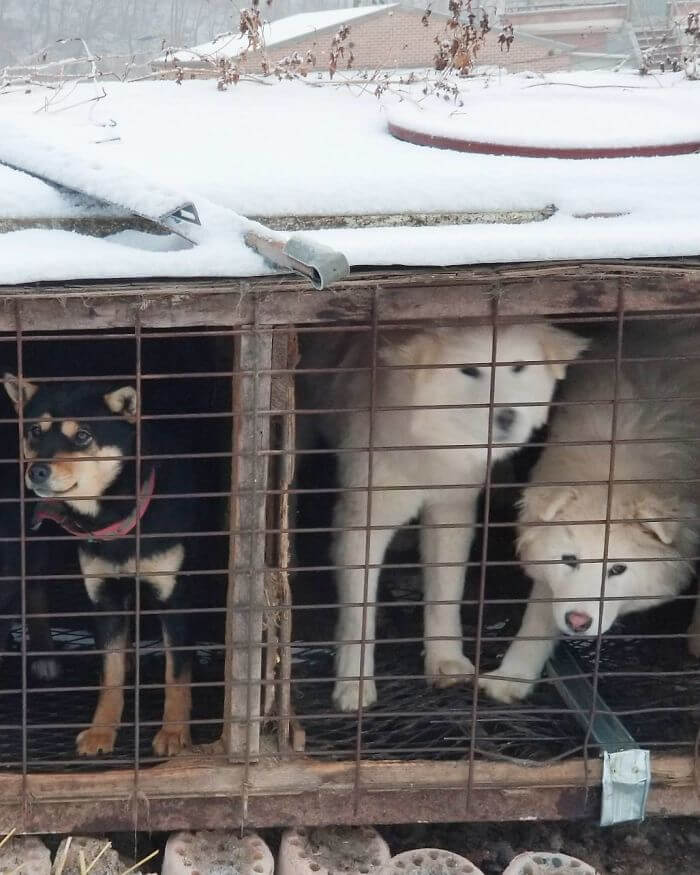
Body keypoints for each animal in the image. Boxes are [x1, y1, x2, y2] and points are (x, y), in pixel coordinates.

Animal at [4, 372, 194, 756]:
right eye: (34, 431)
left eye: (82, 435)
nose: (37, 471)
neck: (115, 514)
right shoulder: (104, 595)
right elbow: (110, 673)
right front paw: (101, 731)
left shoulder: (173, 597)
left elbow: (176, 672)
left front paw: (174, 732)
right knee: (34, 587)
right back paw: (46, 654)